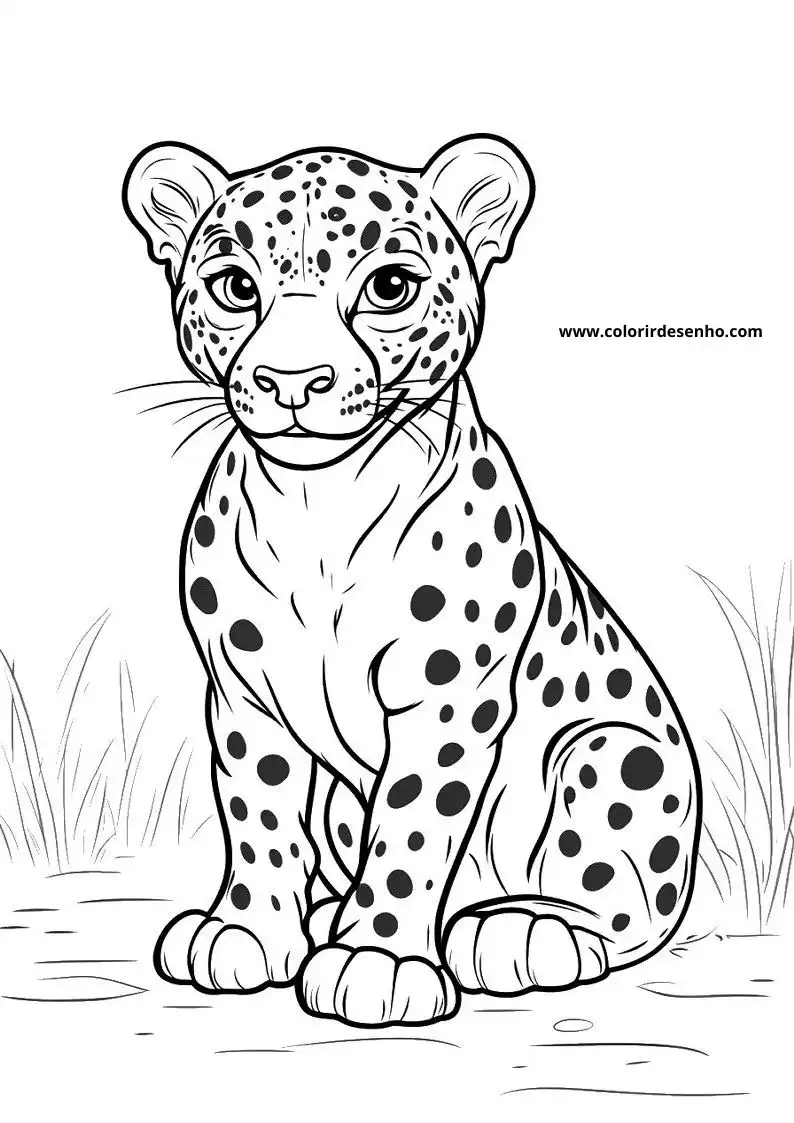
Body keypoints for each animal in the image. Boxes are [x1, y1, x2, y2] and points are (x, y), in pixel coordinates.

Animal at [123, 134, 701, 1028]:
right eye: (235, 287)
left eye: (389, 286)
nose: (295, 380)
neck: (319, 507)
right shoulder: (243, 691)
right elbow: (257, 811)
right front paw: (247, 929)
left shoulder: (446, 693)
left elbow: (414, 822)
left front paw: (377, 958)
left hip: (613, 750)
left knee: (624, 908)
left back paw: (519, 929)